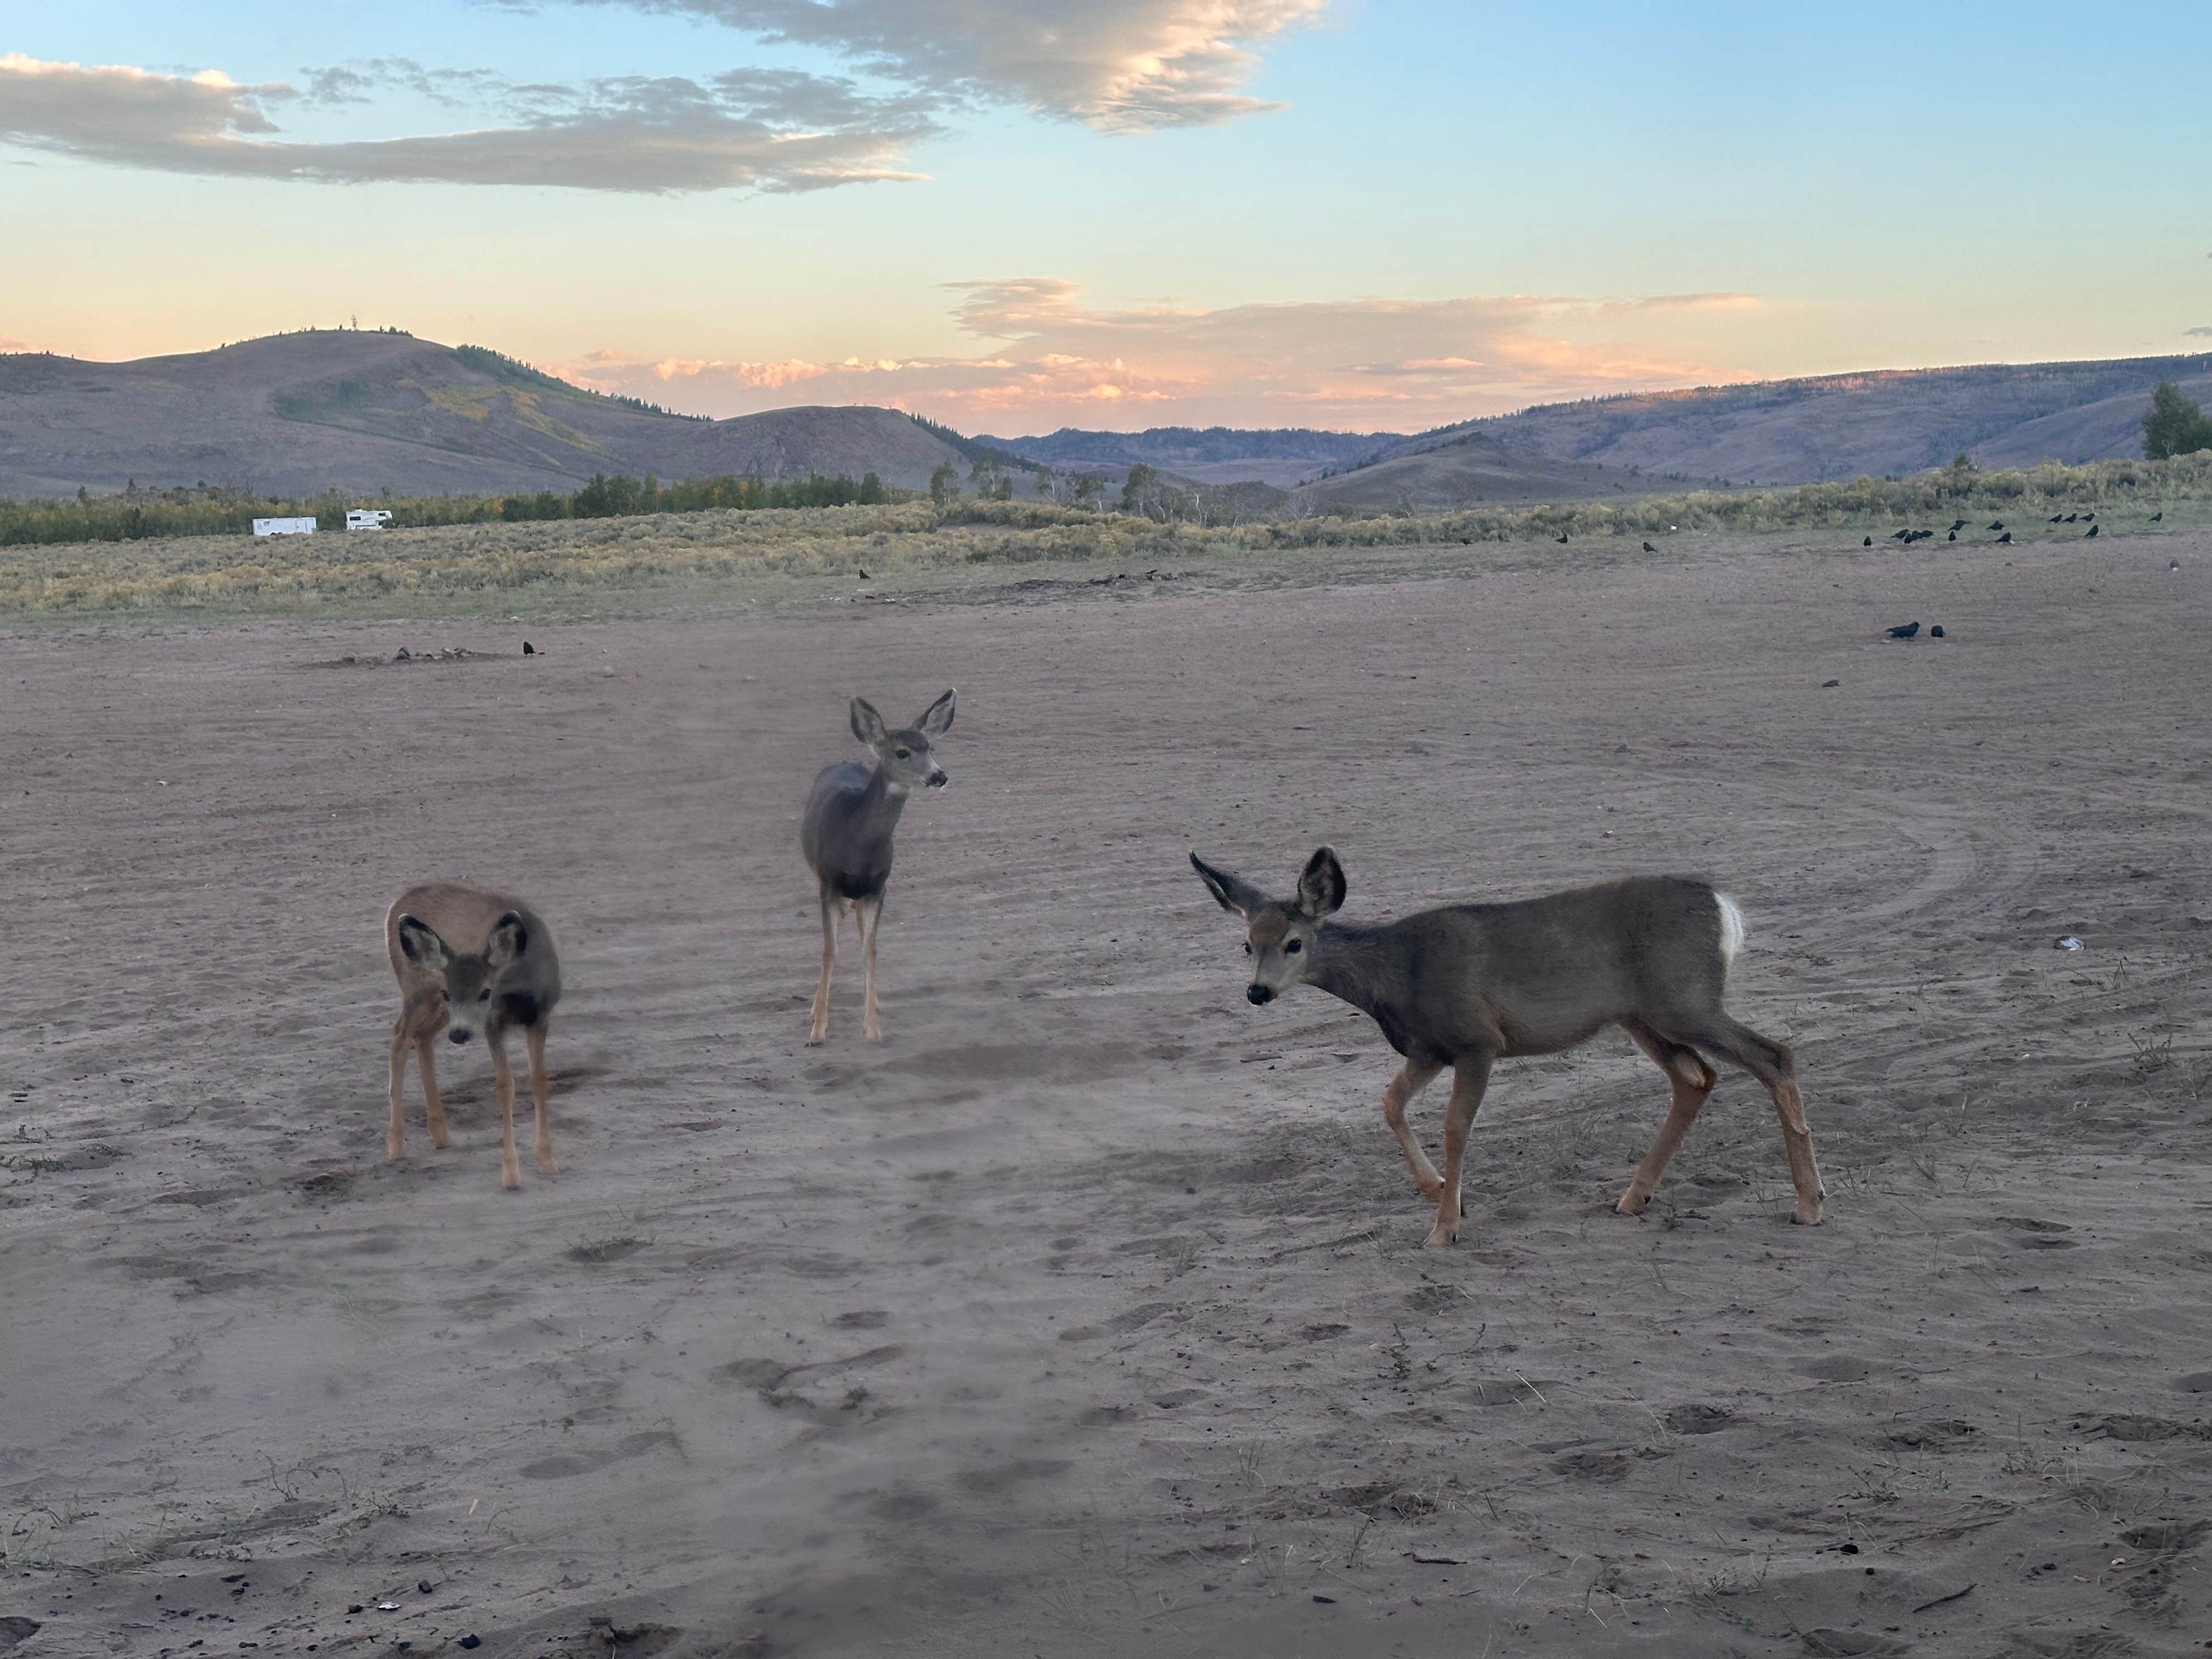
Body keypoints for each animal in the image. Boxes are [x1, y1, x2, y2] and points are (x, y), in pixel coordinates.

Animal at [378, 889, 557, 1186]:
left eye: (486, 992)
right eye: (448, 993)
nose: (459, 1034)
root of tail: (396, 904)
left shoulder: (540, 1018)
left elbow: (539, 1079)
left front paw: (546, 1161)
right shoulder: (492, 1025)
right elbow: (504, 1085)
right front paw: (511, 1174)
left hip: (436, 1009)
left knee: (421, 1037)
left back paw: (440, 1135)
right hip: (419, 991)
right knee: (400, 1038)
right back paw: (396, 1146)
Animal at [809, 695, 955, 1044]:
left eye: (931, 747)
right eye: (902, 752)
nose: (939, 777)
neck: (856, 844)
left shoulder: (879, 886)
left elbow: (870, 949)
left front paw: (873, 1028)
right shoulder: (828, 884)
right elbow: (830, 951)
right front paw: (818, 1029)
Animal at [1186, 845, 1822, 1248]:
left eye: (1294, 942)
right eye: (1248, 944)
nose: (1258, 992)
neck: (1398, 976)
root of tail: (1726, 908)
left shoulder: (1477, 1040)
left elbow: (1455, 1128)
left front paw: (1444, 1228)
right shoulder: (1428, 1049)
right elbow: (1389, 1104)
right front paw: (1440, 1192)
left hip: (1685, 1001)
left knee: (1774, 1055)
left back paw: (1810, 1205)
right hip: (1643, 1016)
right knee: (1695, 1078)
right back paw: (1632, 1198)